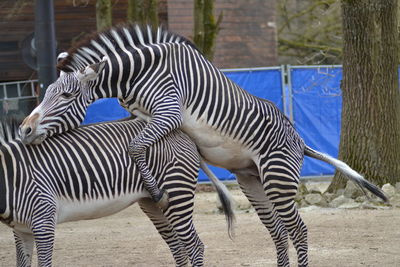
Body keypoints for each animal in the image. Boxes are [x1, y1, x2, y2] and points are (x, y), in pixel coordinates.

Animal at [0, 118, 234, 267]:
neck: (11, 176)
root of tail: (181, 133)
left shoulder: (43, 220)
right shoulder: (21, 229)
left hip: (178, 193)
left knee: (195, 247)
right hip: (154, 203)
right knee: (178, 248)